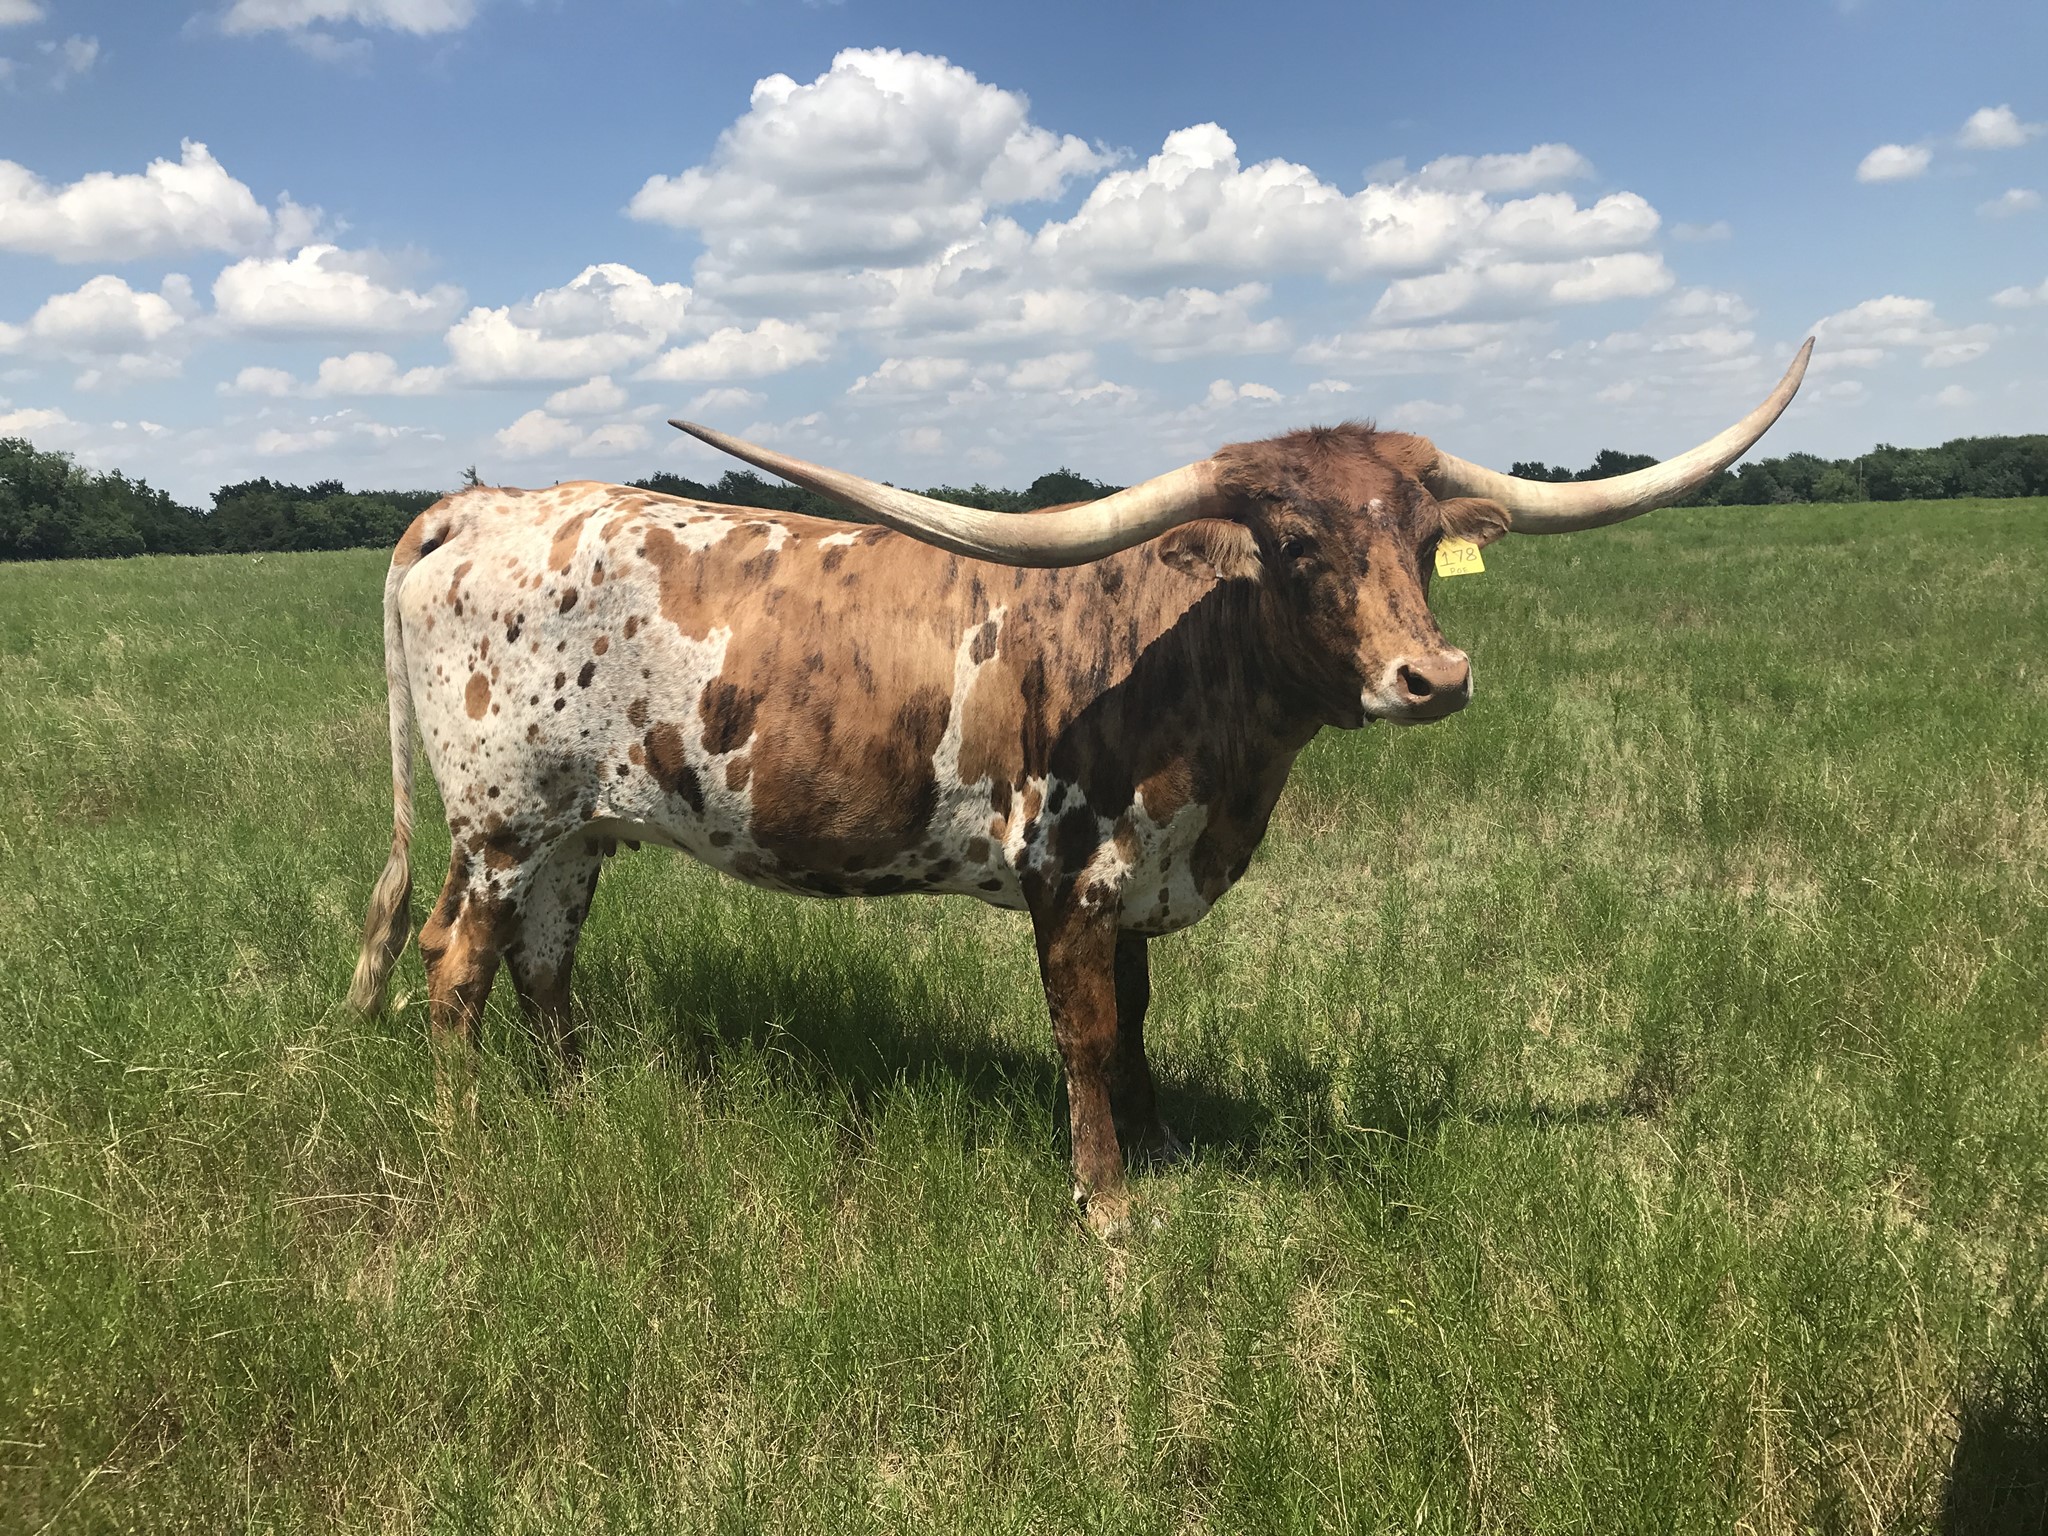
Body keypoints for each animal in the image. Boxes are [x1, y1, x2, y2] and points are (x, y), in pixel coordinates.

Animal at [349, 341, 1812, 1234]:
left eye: (1420, 537)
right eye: (1293, 545)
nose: (1432, 676)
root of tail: (482, 506)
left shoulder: (1144, 879)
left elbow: (1144, 1023)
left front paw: (1157, 1153)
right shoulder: (1070, 878)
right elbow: (1090, 1036)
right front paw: (1107, 1207)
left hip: (580, 830)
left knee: (544, 965)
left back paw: (576, 1109)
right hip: (502, 824)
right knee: (453, 969)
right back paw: (466, 1138)